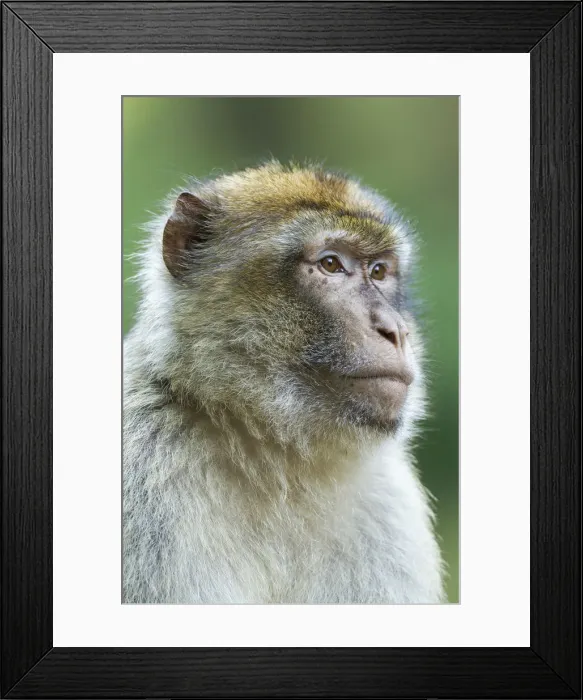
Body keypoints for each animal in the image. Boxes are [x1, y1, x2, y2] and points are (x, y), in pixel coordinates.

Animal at [123, 161, 445, 604]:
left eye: (379, 271)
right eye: (331, 264)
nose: (395, 330)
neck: (280, 461)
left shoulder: (390, 503)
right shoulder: (143, 464)